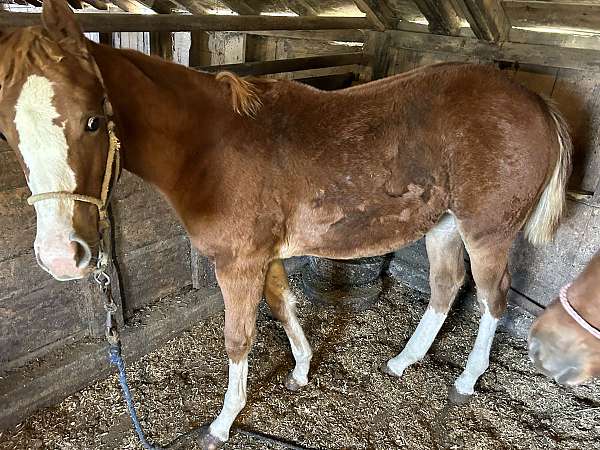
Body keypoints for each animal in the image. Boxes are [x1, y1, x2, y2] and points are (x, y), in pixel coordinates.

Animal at [0, 0, 572, 446]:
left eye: (94, 121)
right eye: (9, 134)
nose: (60, 255)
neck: (211, 148)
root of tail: (537, 102)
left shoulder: (237, 264)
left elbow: (239, 338)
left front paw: (223, 423)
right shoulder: (264, 257)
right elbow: (283, 305)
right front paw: (300, 369)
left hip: (487, 233)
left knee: (493, 296)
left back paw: (467, 380)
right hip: (444, 225)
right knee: (445, 286)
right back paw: (401, 363)